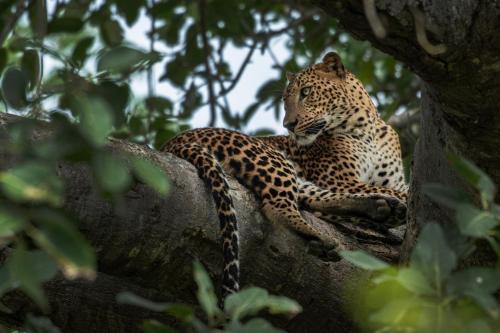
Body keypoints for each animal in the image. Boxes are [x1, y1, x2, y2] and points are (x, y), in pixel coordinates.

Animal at [162, 51, 408, 298]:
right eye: (284, 101)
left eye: (306, 92)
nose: (288, 125)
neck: (368, 129)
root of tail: (173, 143)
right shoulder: (340, 180)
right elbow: (399, 192)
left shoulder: (384, 181)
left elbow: (399, 189)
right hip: (268, 156)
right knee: (278, 206)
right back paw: (322, 236)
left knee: (312, 198)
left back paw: (381, 208)